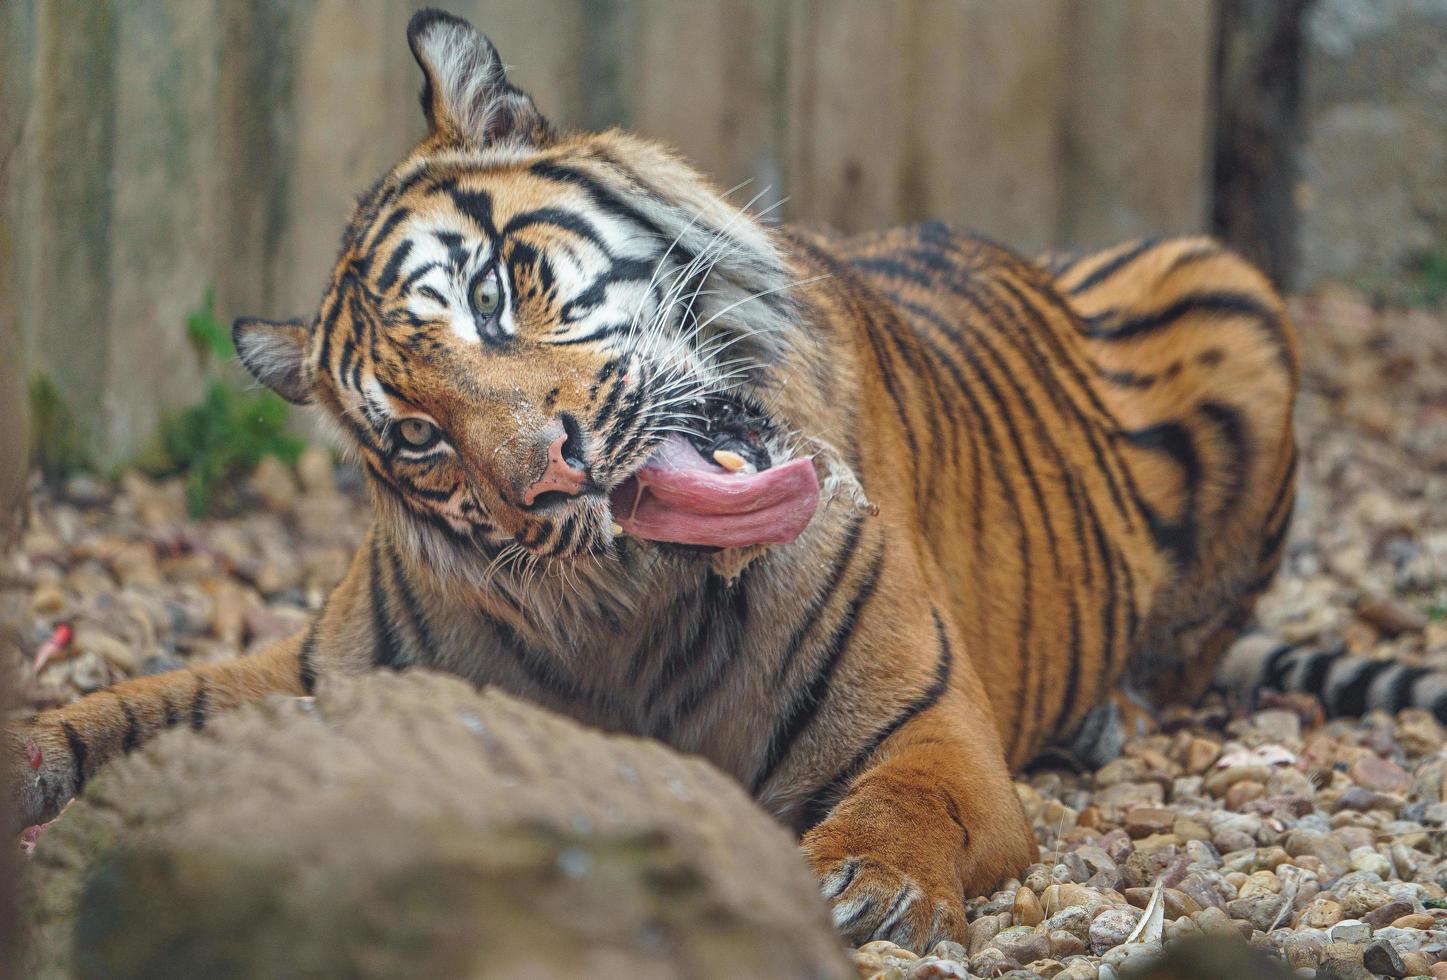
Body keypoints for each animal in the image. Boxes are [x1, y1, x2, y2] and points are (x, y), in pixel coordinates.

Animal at [8, 7, 1302, 949]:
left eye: (488, 292)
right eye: (417, 433)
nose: (545, 477)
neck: (634, 605)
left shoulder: (932, 725)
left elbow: (908, 798)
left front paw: (864, 883)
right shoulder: (329, 676)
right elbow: (135, 706)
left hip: (1231, 286)